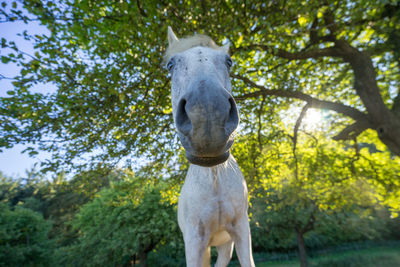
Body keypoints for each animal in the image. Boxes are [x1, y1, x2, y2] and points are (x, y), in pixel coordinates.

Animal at [163, 27, 255, 267]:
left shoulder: (241, 231)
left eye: (228, 61)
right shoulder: (195, 241)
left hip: (224, 246)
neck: (214, 177)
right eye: (170, 65)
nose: (207, 113)